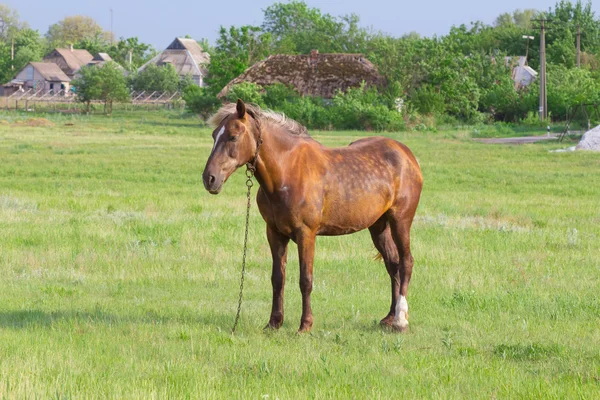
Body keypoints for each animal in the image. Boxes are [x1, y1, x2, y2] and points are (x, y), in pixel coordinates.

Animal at [202, 99, 422, 332]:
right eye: (214, 135)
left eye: (233, 136)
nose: (209, 178)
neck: (287, 171)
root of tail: (407, 155)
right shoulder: (274, 233)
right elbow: (278, 278)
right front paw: (274, 323)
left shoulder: (305, 234)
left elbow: (305, 279)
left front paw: (305, 325)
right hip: (378, 226)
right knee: (393, 264)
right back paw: (389, 317)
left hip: (400, 220)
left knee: (406, 262)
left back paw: (400, 319)